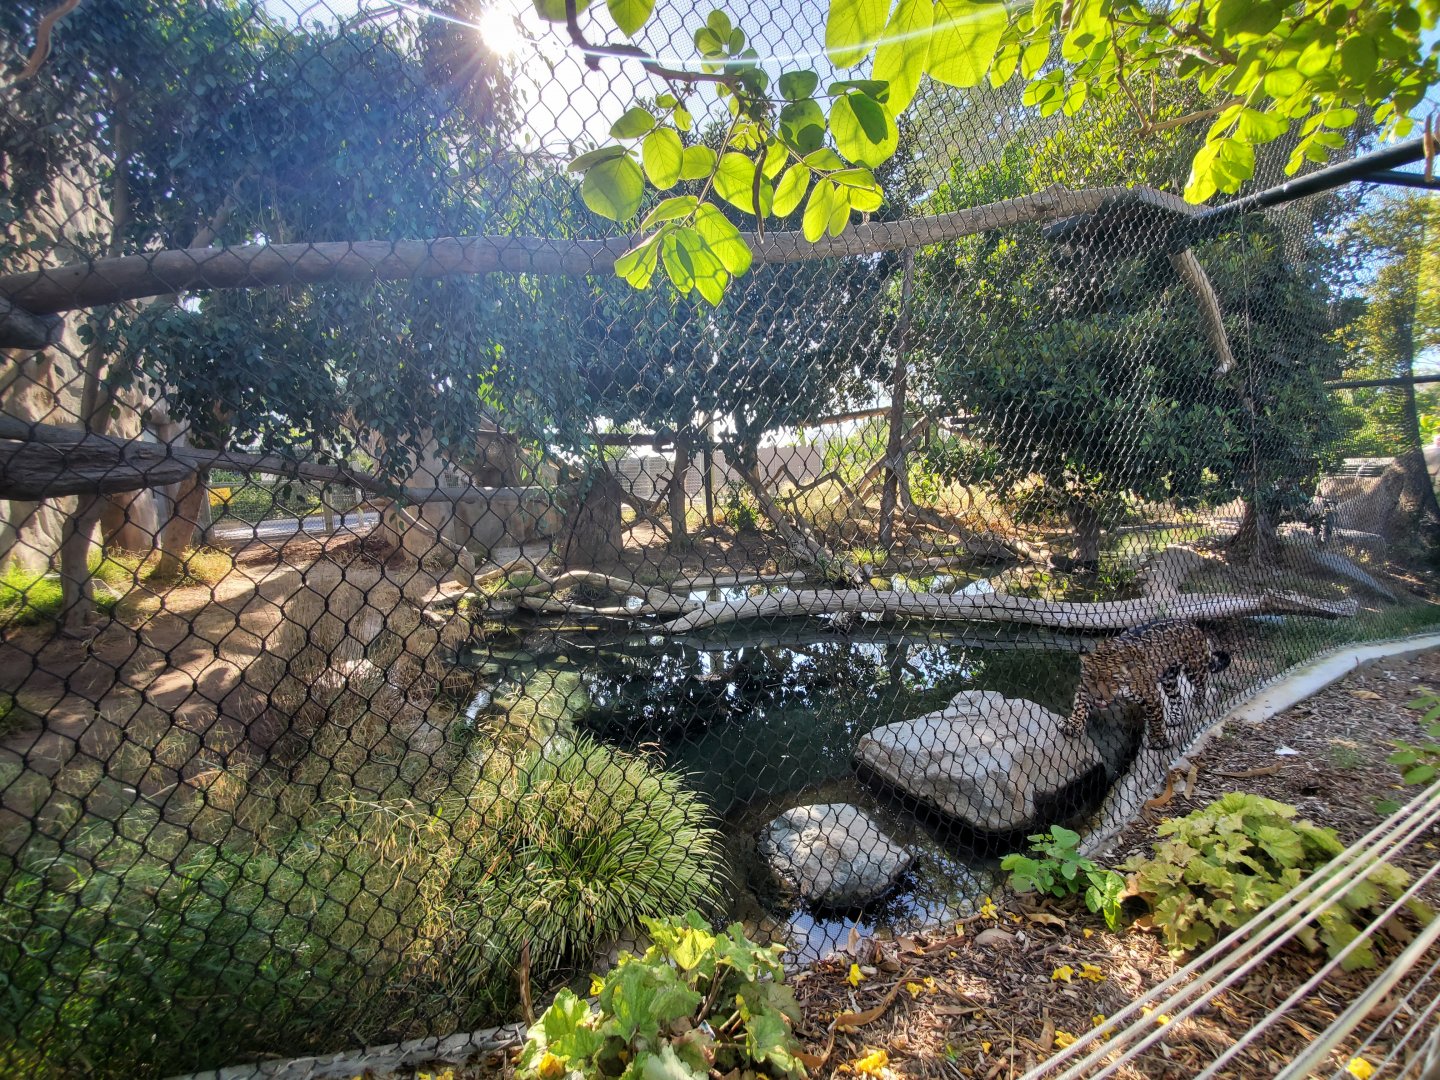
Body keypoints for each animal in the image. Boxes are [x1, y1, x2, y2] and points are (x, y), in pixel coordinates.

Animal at [1062, 619, 1231, 749]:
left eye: (1112, 681)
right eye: (1091, 679)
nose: (1098, 698)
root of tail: (1192, 625)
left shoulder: (1150, 695)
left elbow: (1155, 718)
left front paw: (1158, 740)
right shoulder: (1084, 689)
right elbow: (1079, 707)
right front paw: (1073, 726)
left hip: (1195, 669)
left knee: (1202, 683)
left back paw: (1197, 699)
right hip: (1168, 677)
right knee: (1176, 697)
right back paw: (1175, 718)